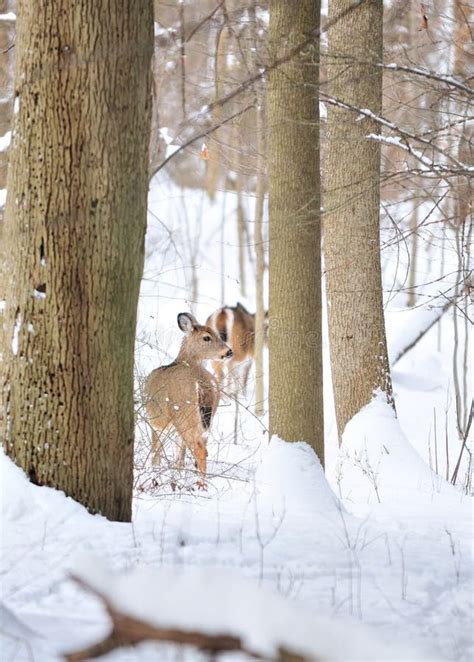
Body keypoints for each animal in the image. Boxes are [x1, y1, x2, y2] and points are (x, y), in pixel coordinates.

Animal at [145, 314, 232, 480]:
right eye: (207, 337)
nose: (229, 351)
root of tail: (201, 383)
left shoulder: (156, 421)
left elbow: (156, 450)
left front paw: (154, 470)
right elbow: (180, 452)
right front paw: (177, 473)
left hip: (183, 412)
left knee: (199, 449)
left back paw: (201, 482)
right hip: (207, 416)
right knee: (201, 446)